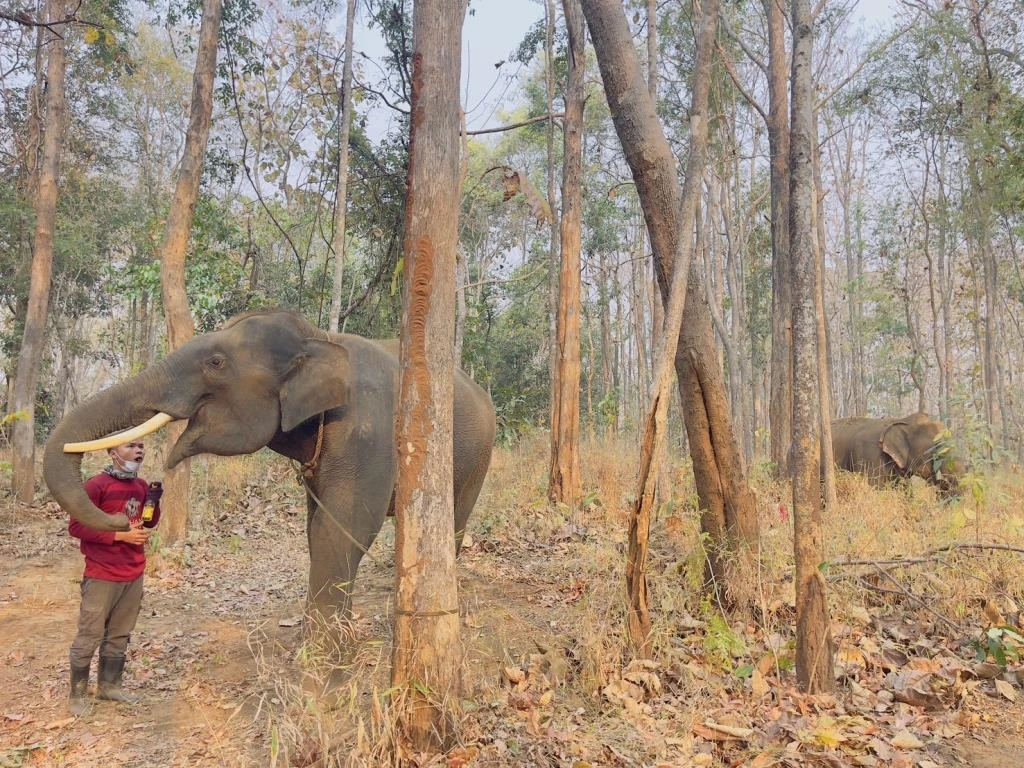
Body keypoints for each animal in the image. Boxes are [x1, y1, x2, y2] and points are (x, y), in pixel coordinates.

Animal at [41, 311, 497, 626]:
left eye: (216, 363)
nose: (128, 518)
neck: (320, 337)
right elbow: (316, 528)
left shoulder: (367, 427)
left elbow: (343, 526)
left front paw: (320, 656)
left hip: (478, 456)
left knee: (452, 521)